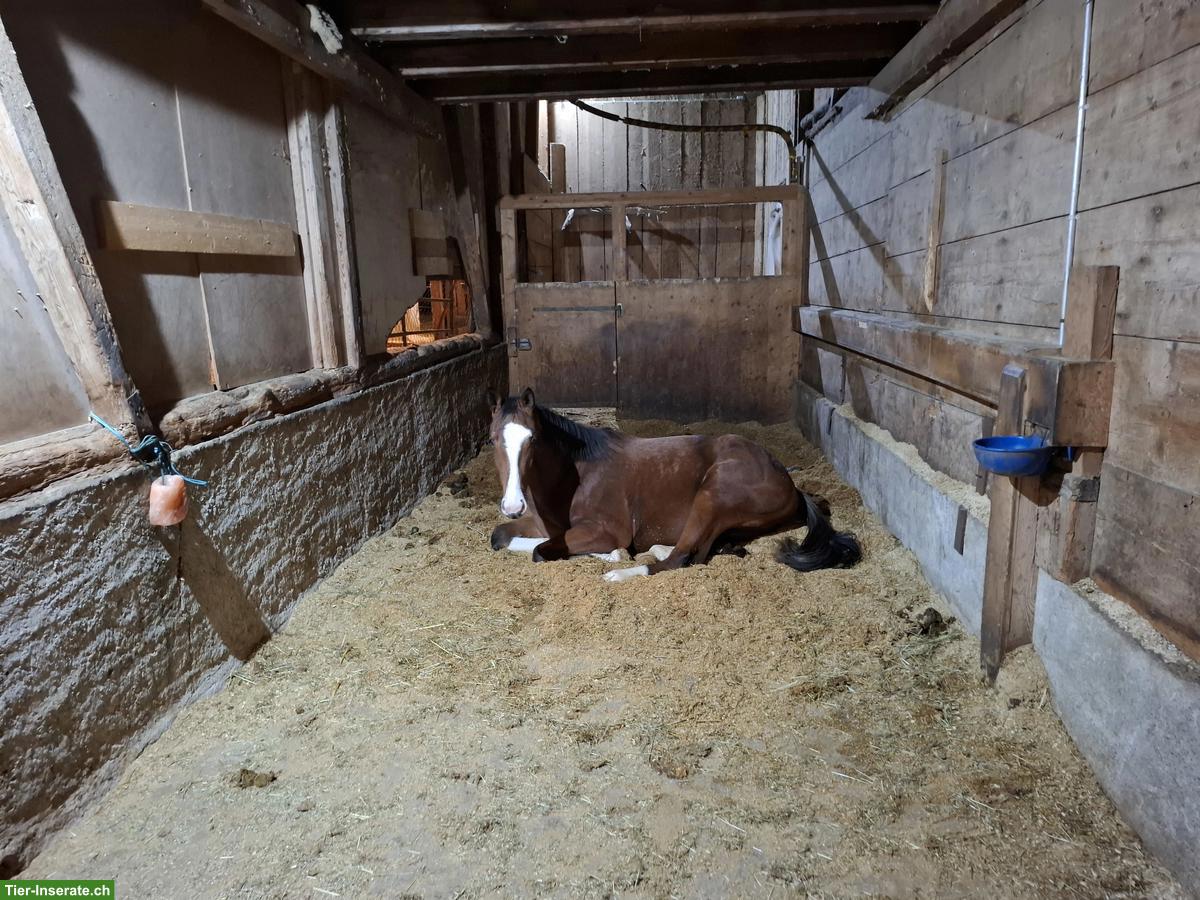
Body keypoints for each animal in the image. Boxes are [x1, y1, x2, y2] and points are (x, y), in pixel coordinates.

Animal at [486, 388, 860, 582]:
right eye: (492, 440)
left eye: (533, 440)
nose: (512, 506)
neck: (577, 474)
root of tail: (791, 485)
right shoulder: (544, 524)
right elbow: (501, 537)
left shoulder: (605, 529)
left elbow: (541, 551)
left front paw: (614, 555)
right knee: (707, 550)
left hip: (712, 497)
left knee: (681, 559)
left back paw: (624, 573)